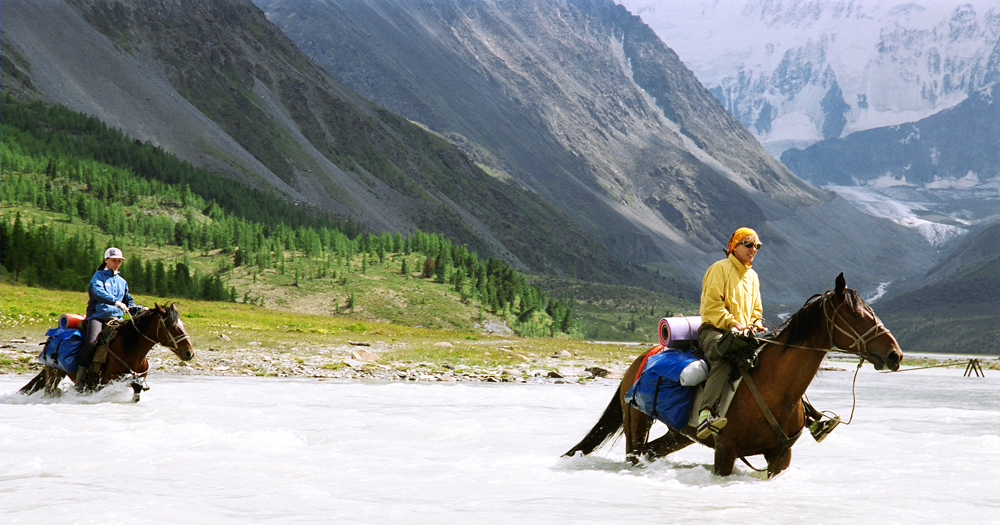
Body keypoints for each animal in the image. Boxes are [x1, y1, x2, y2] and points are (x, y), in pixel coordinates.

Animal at [19, 302, 195, 402]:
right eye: (172, 326)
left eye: (184, 324)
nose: (189, 353)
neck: (130, 349)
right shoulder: (106, 381)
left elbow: (137, 389)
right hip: (53, 372)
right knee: (49, 390)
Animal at [568, 272, 904, 476]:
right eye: (855, 314)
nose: (895, 354)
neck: (776, 390)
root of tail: (639, 361)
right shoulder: (725, 453)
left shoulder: (780, 457)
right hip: (636, 422)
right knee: (637, 453)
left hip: (678, 434)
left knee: (652, 451)